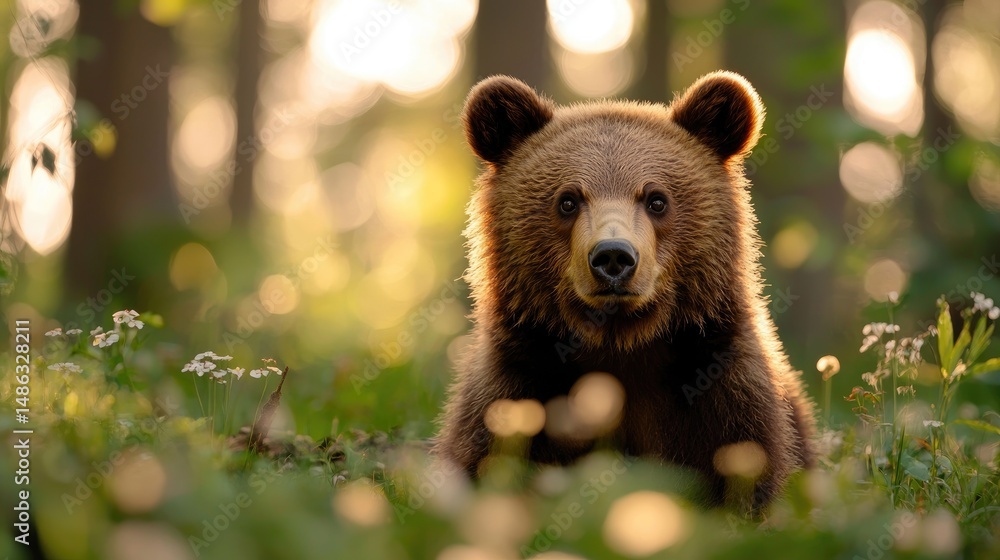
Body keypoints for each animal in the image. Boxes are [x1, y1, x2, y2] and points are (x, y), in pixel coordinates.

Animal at [434, 71, 815, 513]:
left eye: (656, 199)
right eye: (568, 200)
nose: (613, 256)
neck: (620, 345)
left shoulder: (719, 387)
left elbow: (746, 472)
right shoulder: (520, 383)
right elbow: (485, 462)